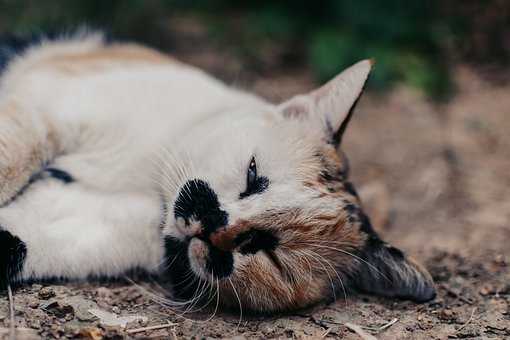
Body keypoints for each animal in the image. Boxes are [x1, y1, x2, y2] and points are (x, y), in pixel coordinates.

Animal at [0, 31, 434, 314]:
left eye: (269, 251)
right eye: (253, 174)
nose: (213, 224)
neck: (149, 183)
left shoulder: (74, 225)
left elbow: (15, 241)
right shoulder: (45, 104)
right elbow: (11, 160)